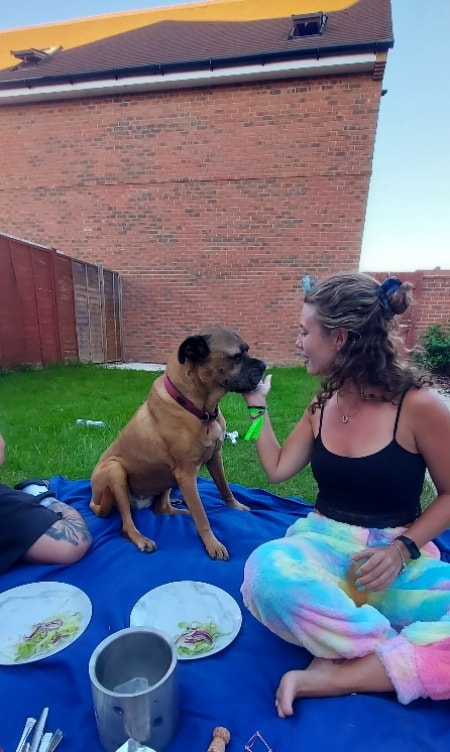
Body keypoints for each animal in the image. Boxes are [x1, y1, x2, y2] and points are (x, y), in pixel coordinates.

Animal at [89, 326, 266, 559]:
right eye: (237, 356)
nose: (263, 366)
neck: (199, 409)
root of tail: (94, 501)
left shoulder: (215, 457)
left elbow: (224, 487)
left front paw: (235, 506)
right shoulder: (186, 474)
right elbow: (202, 516)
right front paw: (213, 544)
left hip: (166, 478)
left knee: (161, 509)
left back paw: (178, 510)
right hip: (115, 471)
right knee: (127, 524)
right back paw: (142, 539)